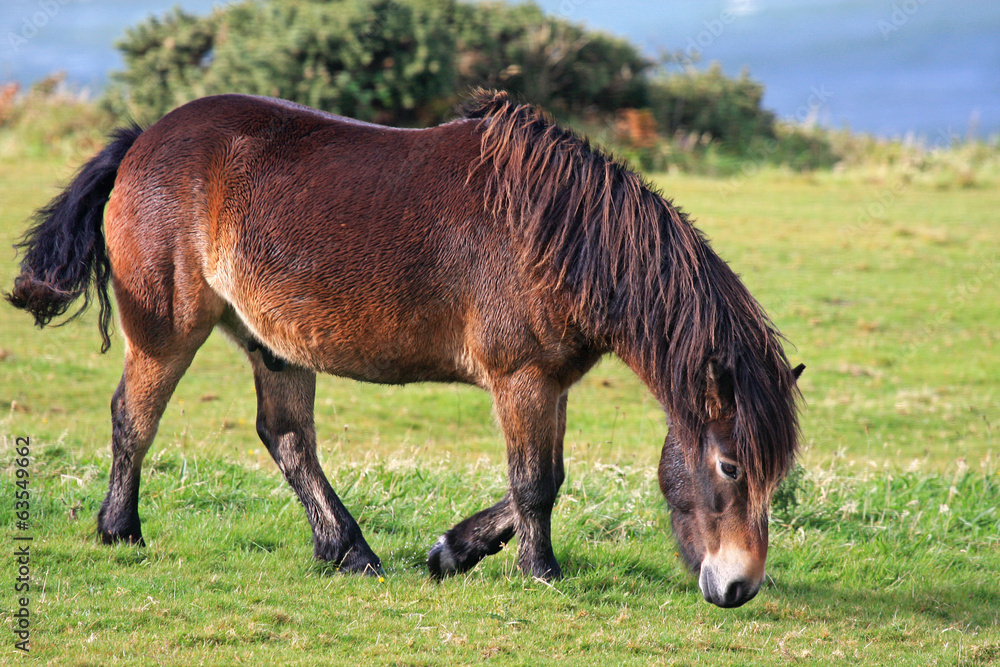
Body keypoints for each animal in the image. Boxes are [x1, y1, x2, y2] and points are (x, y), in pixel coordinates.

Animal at [8, 90, 802, 608]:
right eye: (730, 465)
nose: (739, 587)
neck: (558, 235)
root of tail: (143, 140)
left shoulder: (549, 382)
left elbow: (545, 479)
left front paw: (453, 551)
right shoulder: (521, 378)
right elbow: (537, 483)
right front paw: (538, 571)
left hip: (273, 343)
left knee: (287, 439)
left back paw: (347, 550)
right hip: (167, 331)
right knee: (133, 419)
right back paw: (120, 530)